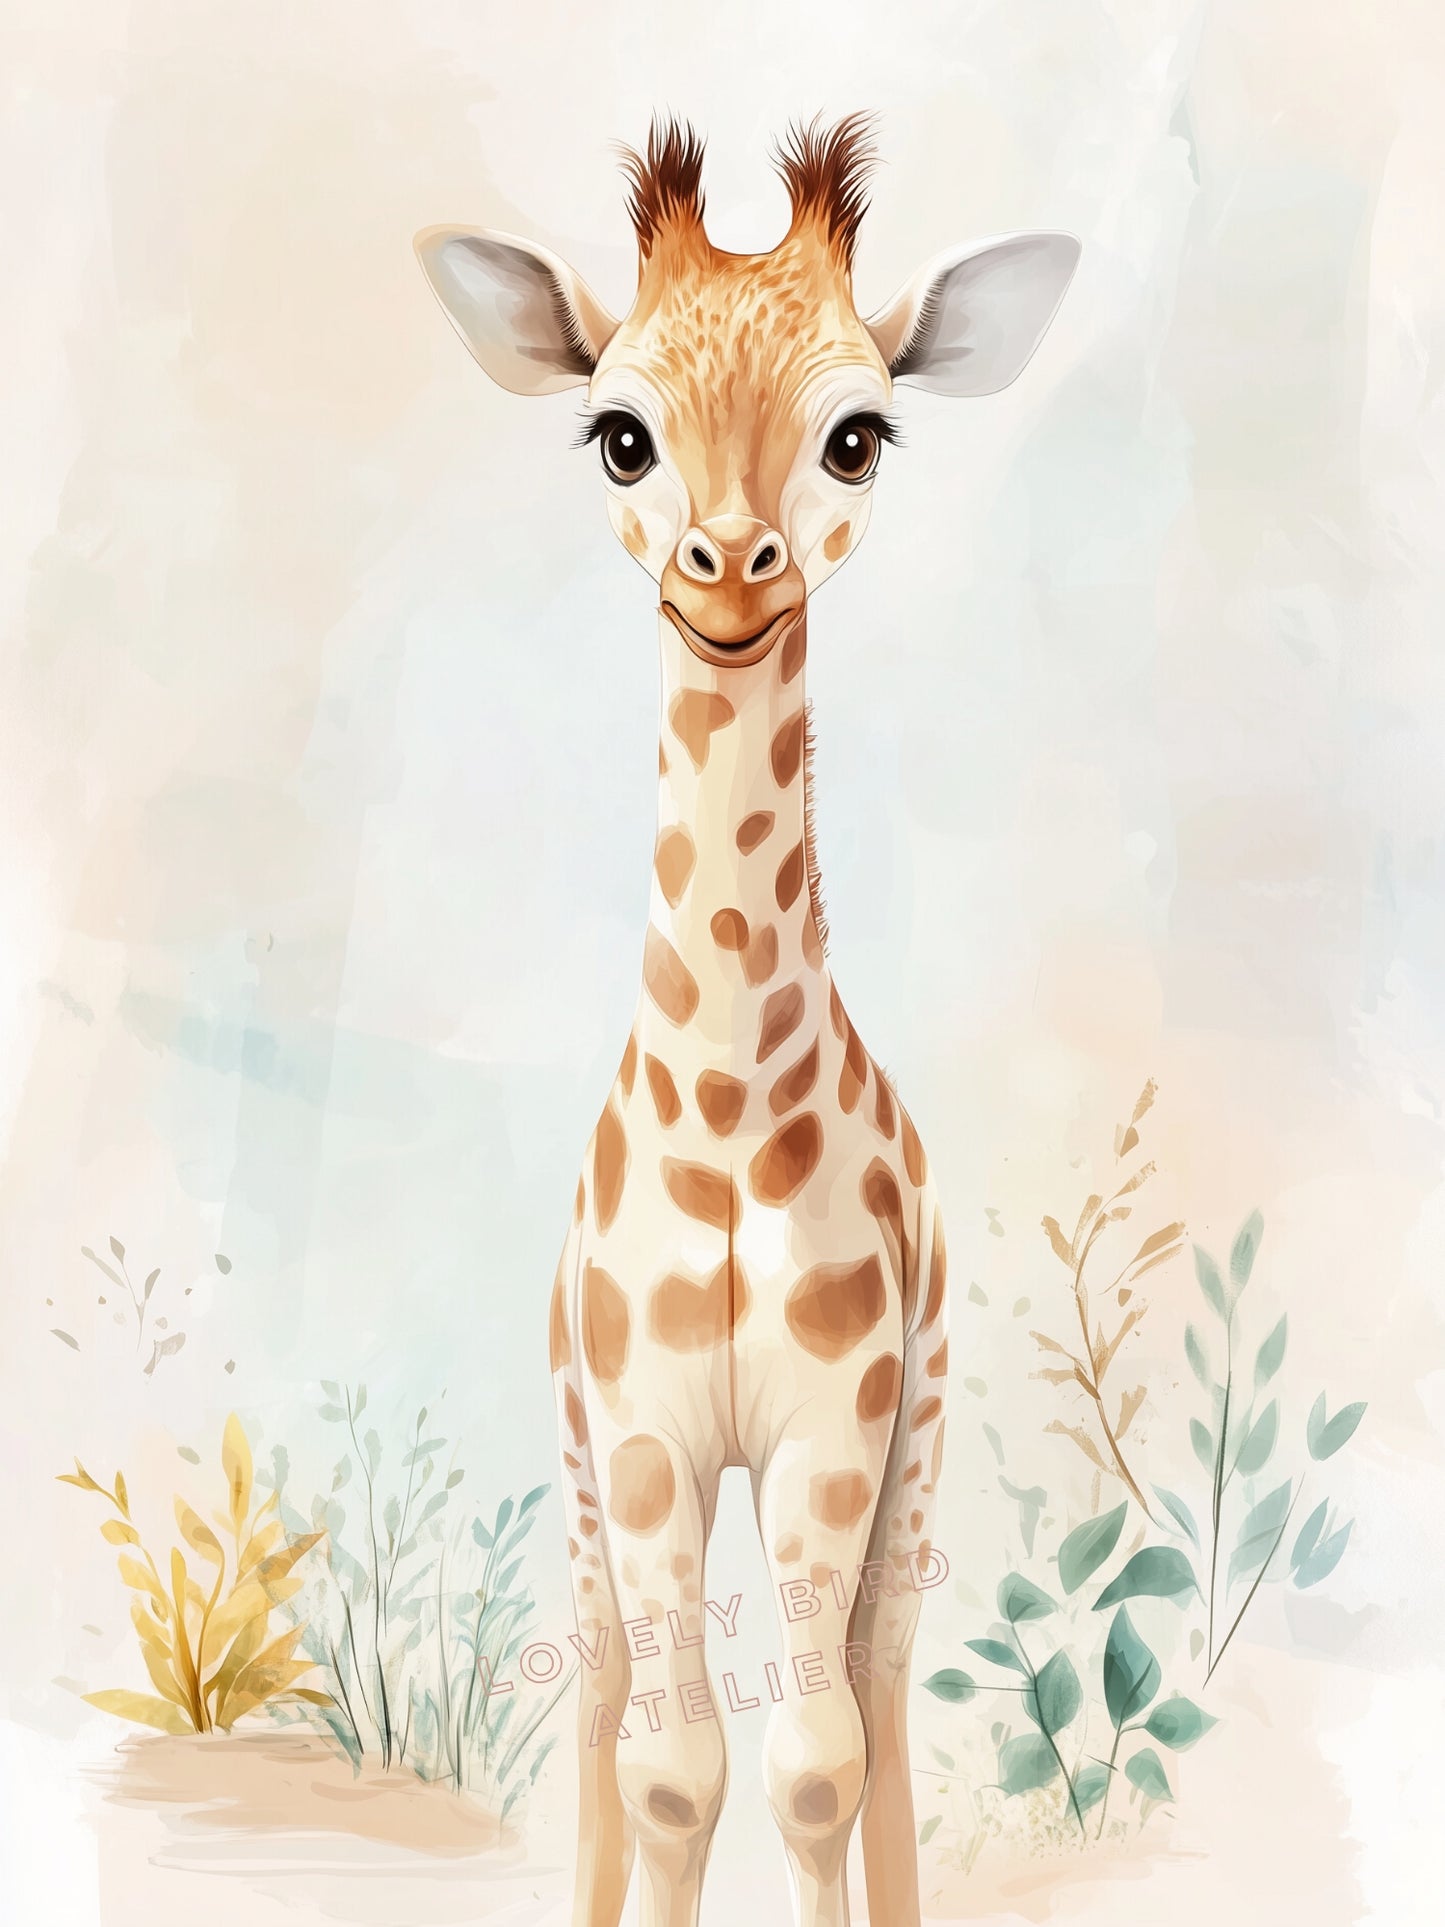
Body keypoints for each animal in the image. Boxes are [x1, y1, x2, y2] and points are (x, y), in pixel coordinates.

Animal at [416, 115, 1078, 1927]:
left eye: (858, 435)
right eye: (618, 433)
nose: (728, 565)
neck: (722, 1109)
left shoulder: (831, 1430)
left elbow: (813, 1759)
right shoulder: (643, 1433)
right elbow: (671, 1765)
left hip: (916, 1448)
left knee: (879, 1698)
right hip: (577, 1468)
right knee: (602, 1713)